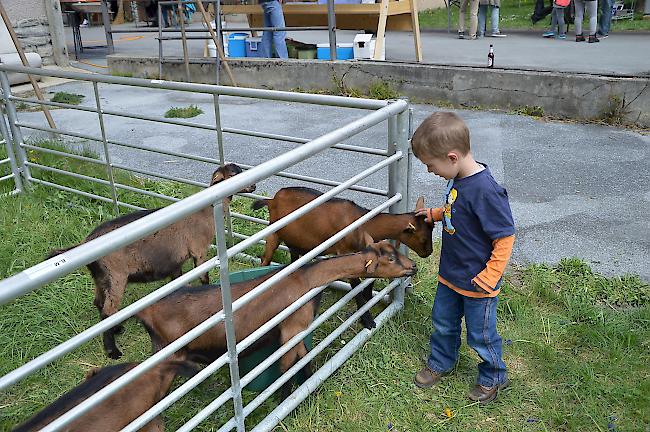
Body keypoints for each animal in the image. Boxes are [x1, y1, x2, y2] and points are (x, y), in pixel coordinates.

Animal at [46, 164, 254, 360]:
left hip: (101, 276)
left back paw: (117, 329)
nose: (253, 186)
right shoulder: (199, 251)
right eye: (234, 174)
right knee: (107, 310)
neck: (207, 210)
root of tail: (85, 242)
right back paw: (113, 351)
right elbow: (204, 279)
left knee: (99, 303)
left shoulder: (175, 264)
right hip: (116, 276)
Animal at [135, 241, 416, 396]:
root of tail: (146, 311)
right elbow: (285, 370)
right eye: (391, 258)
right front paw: (284, 401)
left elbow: (305, 361)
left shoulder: (299, 332)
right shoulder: (291, 330)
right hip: (168, 355)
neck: (306, 280)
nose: (413, 267)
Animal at [249, 187, 430, 330]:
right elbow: (356, 286)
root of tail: (272, 200)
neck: (359, 221)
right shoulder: (344, 252)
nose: (428, 252)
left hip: (294, 241)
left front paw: (369, 298)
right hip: (273, 233)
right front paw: (368, 320)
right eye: (423, 238)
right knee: (265, 259)